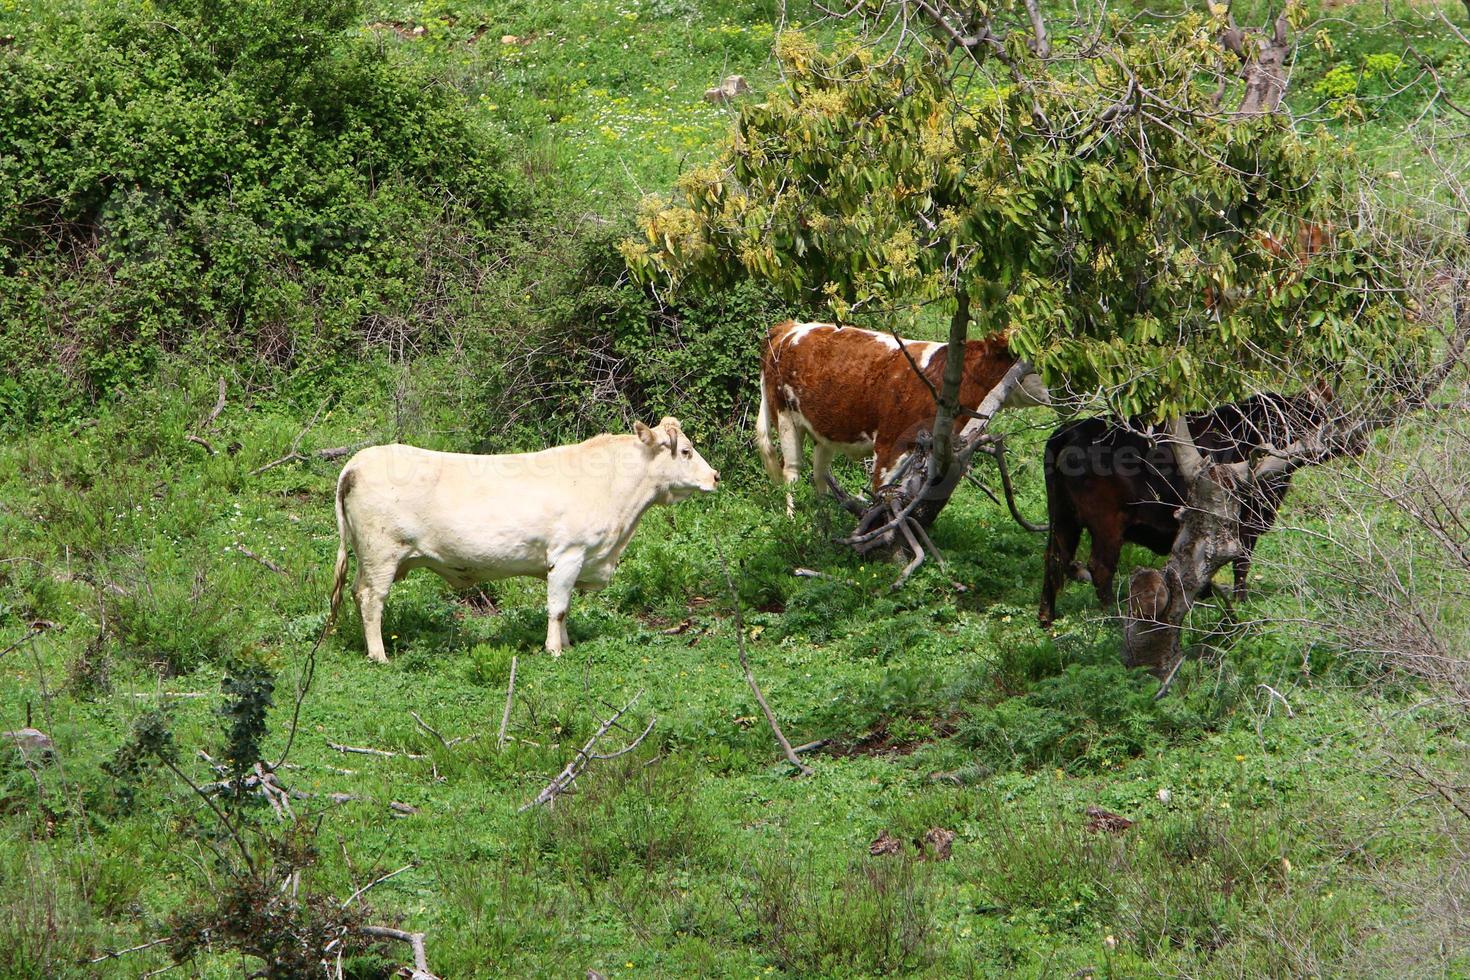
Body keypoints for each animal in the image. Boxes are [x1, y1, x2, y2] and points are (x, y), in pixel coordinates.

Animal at [333, 417, 723, 664]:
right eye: (686, 451)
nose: (716, 476)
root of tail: (357, 462)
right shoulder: (567, 554)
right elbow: (558, 607)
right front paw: (554, 650)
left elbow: (565, 610)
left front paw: (567, 644)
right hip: (382, 553)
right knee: (371, 598)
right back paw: (379, 655)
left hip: (370, 557)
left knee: (356, 592)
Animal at [758, 320, 1046, 514]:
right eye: (1018, 358)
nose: (1048, 392)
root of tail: (789, 327)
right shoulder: (889, 445)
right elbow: (881, 492)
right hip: (785, 417)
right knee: (792, 471)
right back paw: (795, 520)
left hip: (824, 427)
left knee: (820, 474)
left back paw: (824, 518)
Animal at [1034, 387, 1334, 625]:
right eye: (1318, 415)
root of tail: (1069, 431)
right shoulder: (1247, 521)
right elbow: (1241, 563)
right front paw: (1241, 601)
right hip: (1106, 525)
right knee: (1100, 567)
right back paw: (1111, 615)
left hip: (1063, 519)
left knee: (1054, 559)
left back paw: (1047, 618)